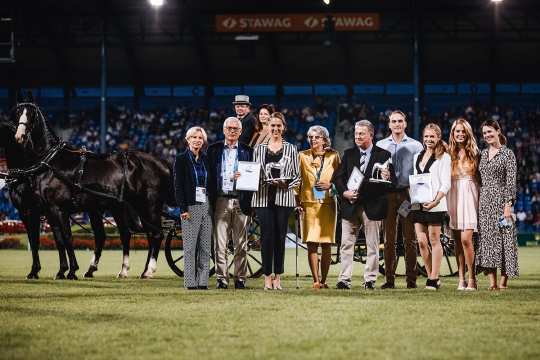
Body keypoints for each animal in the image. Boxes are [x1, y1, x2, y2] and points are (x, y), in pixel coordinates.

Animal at [5, 100, 175, 280]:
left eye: (31, 115)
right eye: (18, 114)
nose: (20, 136)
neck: (50, 162)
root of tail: (162, 162)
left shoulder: (56, 209)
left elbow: (66, 238)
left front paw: (70, 270)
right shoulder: (46, 211)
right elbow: (54, 239)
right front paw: (55, 271)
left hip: (149, 205)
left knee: (156, 234)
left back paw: (148, 270)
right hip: (125, 207)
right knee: (133, 234)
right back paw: (128, 270)